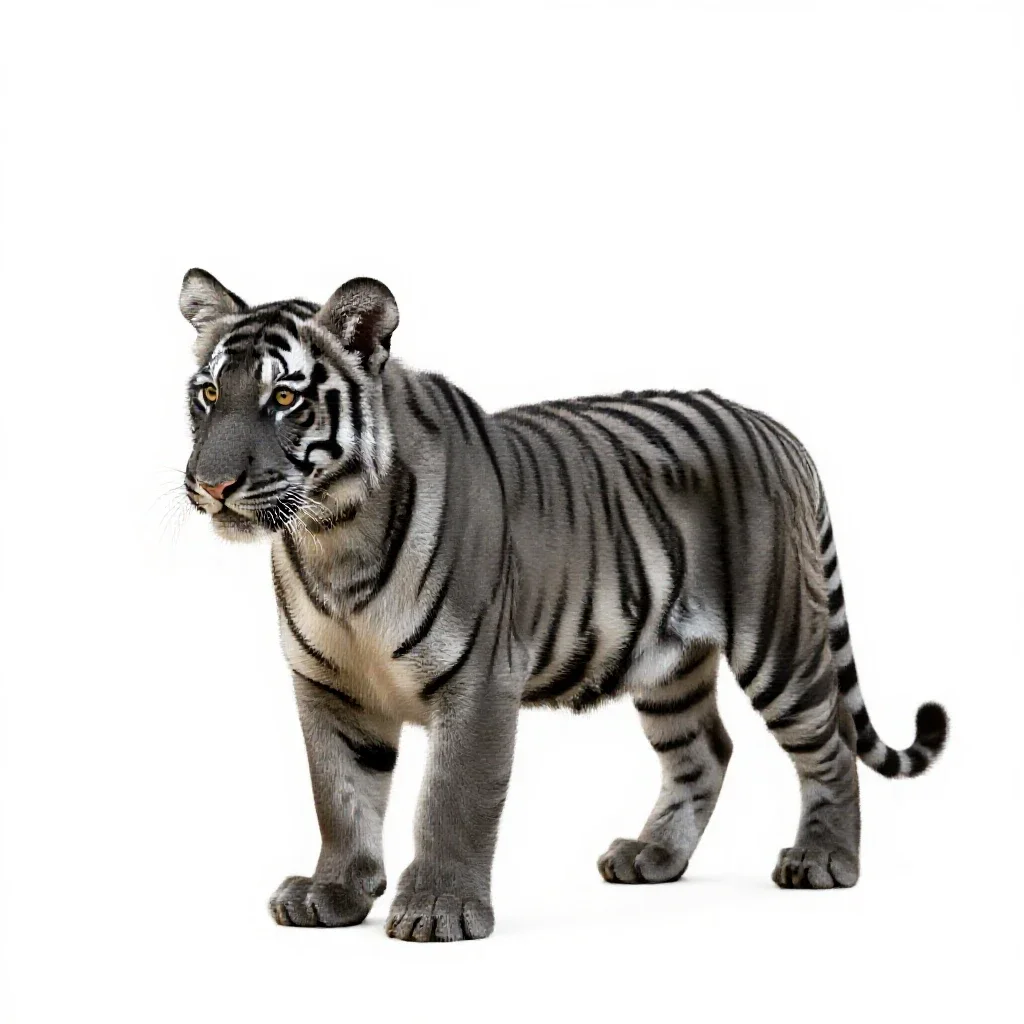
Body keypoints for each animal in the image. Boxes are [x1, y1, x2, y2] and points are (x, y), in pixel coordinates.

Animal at [179, 268, 948, 942]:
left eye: (284, 400)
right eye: (210, 392)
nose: (212, 486)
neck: (332, 537)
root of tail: (779, 432)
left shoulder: (479, 681)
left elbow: (452, 799)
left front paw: (438, 910)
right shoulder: (328, 686)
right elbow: (338, 796)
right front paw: (333, 893)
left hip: (779, 638)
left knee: (831, 741)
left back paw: (825, 860)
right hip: (668, 664)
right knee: (705, 750)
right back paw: (653, 857)